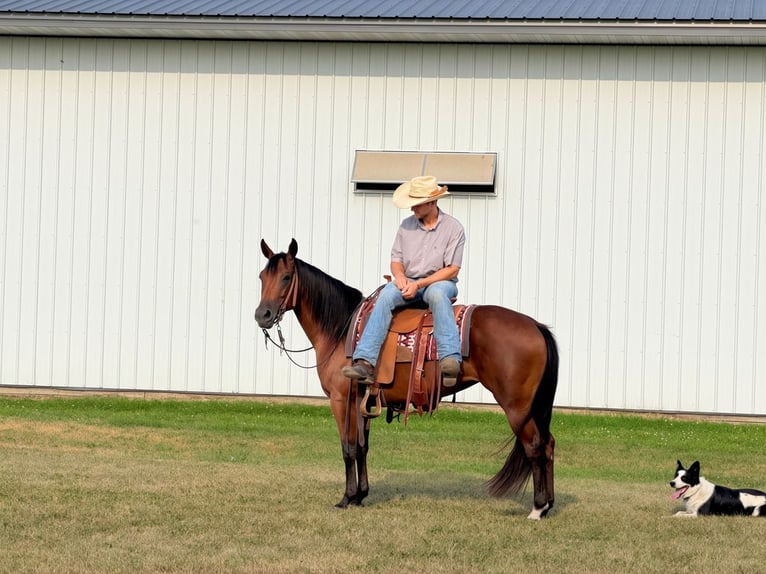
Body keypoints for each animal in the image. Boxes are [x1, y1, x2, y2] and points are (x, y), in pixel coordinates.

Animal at [254, 238, 559, 519]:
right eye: (261, 277)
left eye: (286, 277)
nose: (262, 315)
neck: (342, 331)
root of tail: (536, 326)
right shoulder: (363, 402)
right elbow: (362, 448)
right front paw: (361, 495)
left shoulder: (341, 400)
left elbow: (348, 448)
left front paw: (346, 498)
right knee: (549, 444)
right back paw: (548, 506)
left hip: (517, 407)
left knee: (535, 446)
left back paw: (537, 508)